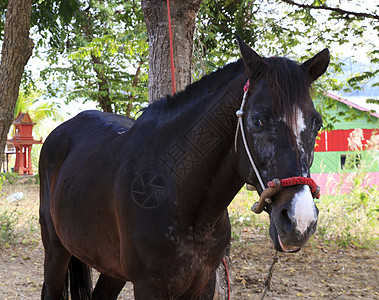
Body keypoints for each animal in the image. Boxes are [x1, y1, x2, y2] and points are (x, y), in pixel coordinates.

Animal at [37, 37, 330, 300]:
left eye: (317, 123)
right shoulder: (149, 287)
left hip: (112, 268)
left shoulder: (203, 284)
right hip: (56, 250)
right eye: (257, 120)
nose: (300, 221)